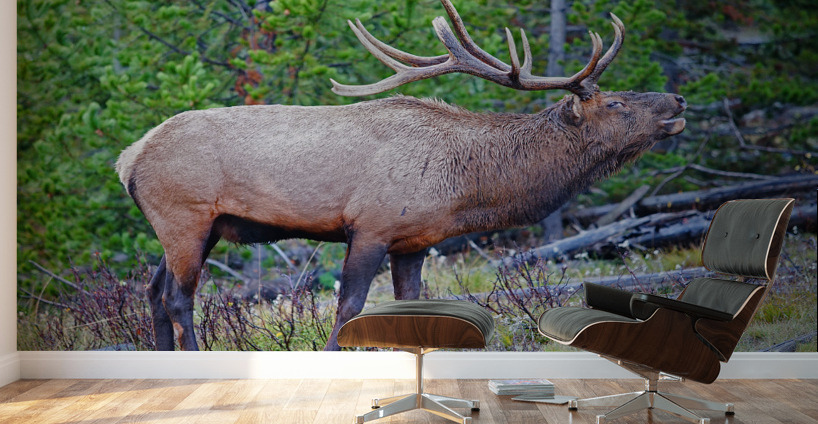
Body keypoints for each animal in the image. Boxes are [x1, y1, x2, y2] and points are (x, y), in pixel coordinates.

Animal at [116, 0, 687, 351]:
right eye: (615, 103)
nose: (678, 101)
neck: (466, 188)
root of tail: (127, 159)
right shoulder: (371, 225)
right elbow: (348, 307)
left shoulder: (415, 240)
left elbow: (408, 307)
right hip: (185, 218)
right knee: (177, 297)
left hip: (199, 228)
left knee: (152, 290)